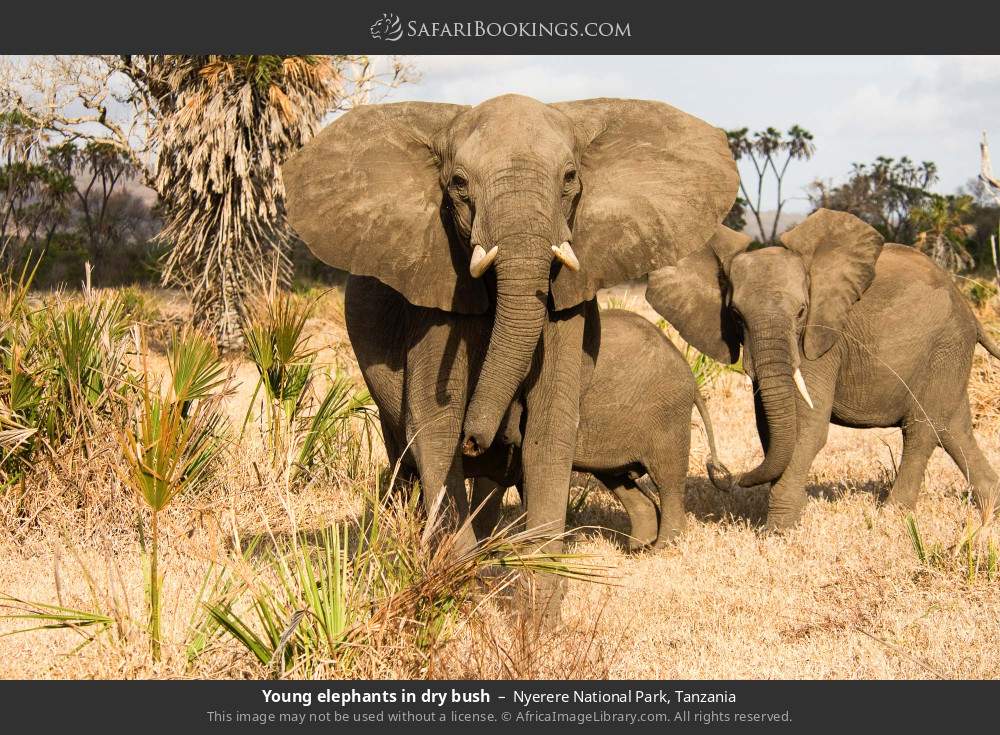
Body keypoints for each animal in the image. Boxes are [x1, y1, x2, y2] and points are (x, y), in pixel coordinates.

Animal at [468, 308, 727, 550]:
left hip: (667, 416)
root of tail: (691, 376)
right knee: (618, 479)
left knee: (668, 479)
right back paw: (638, 547)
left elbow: (498, 473)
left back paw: (660, 547)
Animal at [646, 208, 1000, 530]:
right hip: (949, 351)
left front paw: (778, 531)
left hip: (945, 344)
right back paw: (991, 507)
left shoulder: (821, 340)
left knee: (922, 430)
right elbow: (772, 427)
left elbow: (807, 426)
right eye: (735, 315)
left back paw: (892, 517)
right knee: (954, 428)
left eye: (802, 311)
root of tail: (968, 308)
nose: (722, 474)